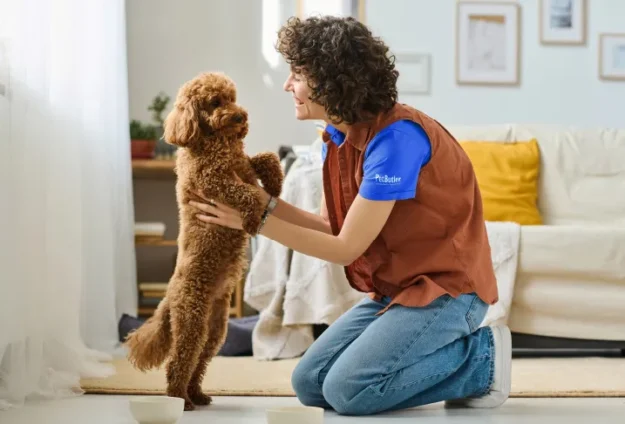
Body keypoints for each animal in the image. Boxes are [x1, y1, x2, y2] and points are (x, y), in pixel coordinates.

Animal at [124, 71, 282, 410]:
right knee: (178, 362)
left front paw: (276, 185)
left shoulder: (244, 164)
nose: (240, 116)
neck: (215, 140)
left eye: (233, 98)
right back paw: (180, 401)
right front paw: (253, 219)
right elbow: (248, 194)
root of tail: (168, 295)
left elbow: (267, 158)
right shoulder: (214, 180)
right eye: (214, 102)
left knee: (199, 363)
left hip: (215, 331)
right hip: (191, 321)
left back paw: (197, 394)